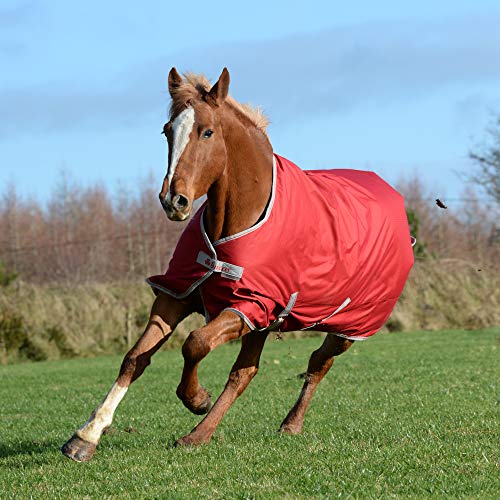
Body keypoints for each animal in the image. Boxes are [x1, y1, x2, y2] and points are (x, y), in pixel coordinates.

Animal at [61, 68, 414, 462]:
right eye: (167, 130)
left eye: (207, 132)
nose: (173, 200)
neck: (233, 226)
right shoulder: (178, 293)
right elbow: (135, 358)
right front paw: (86, 436)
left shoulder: (248, 305)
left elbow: (195, 343)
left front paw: (197, 399)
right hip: (266, 323)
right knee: (247, 372)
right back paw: (210, 432)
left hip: (347, 326)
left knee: (318, 363)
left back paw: (248, 428)